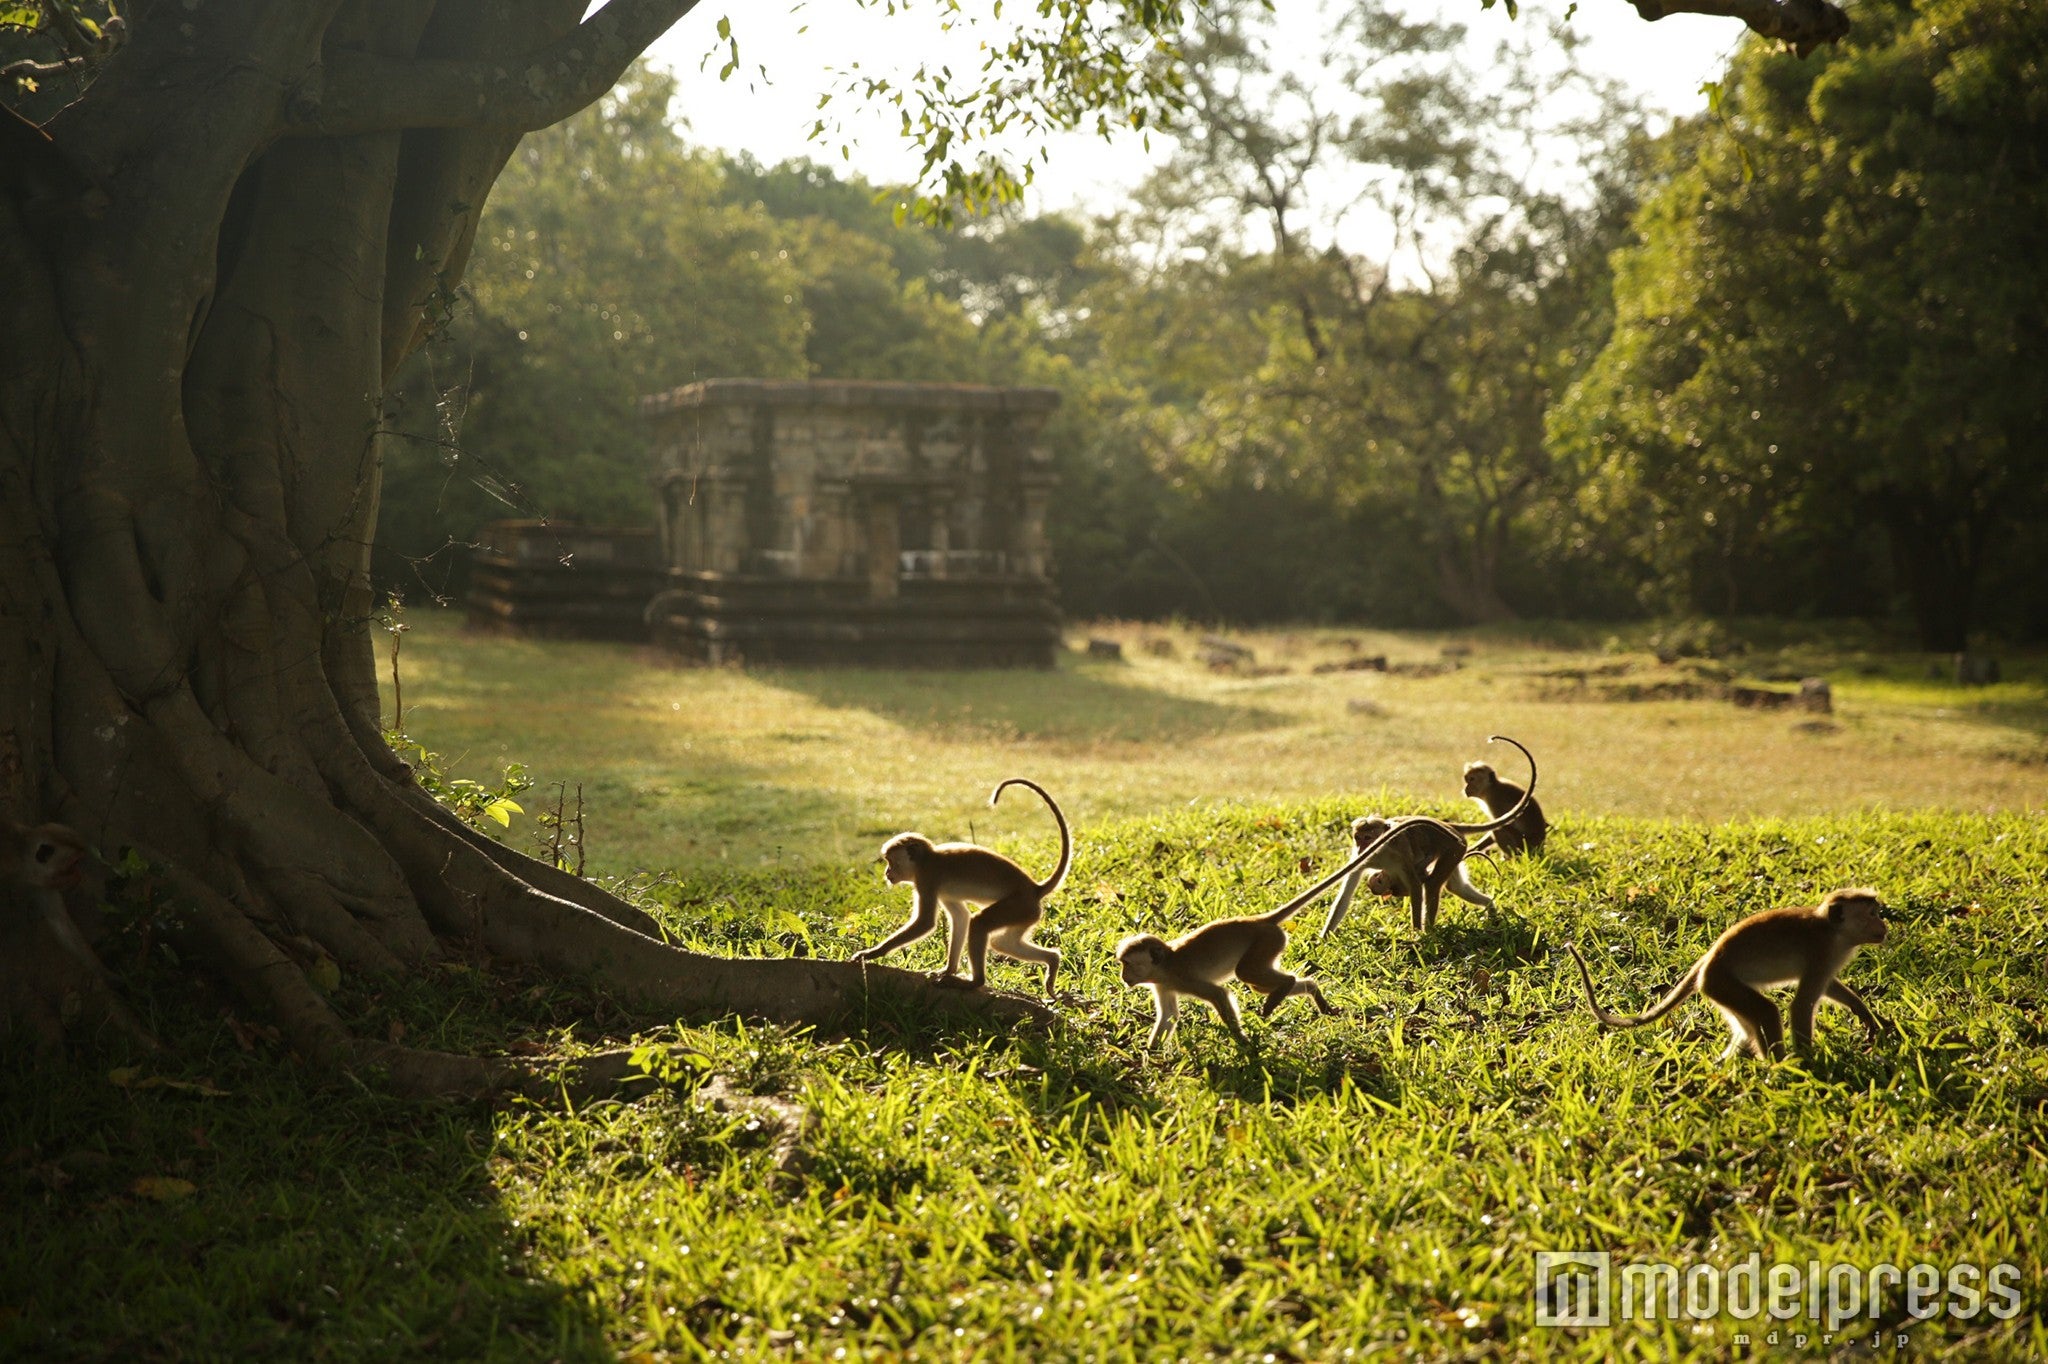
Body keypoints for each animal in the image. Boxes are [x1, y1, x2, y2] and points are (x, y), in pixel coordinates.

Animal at [851, 778, 1071, 995]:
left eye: (891, 862)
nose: (887, 873)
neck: (927, 859)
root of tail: (1034, 888)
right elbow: (960, 917)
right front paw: (949, 970)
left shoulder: (927, 878)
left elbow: (926, 922)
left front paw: (872, 953)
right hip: (1027, 913)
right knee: (1002, 943)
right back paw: (1052, 961)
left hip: (1019, 906)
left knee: (980, 924)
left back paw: (975, 982)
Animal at [1115, 895, 1339, 1052]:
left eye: (1127, 964)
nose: (1122, 976)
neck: (1165, 966)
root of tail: (1260, 920)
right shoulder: (1162, 984)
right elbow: (1169, 1015)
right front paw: (1150, 1052)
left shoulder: (1183, 978)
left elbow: (1218, 994)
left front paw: (1243, 1042)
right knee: (1257, 985)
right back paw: (1311, 991)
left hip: (1267, 941)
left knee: (1246, 973)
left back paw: (1286, 985)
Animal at [1319, 734, 1539, 937]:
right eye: (1358, 838)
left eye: (1368, 838)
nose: (1363, 847)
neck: (1380, 853)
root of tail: (1448, 825)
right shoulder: (1359, 859)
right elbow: (1344, 897)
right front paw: (1325, 938)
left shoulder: (1400, 852)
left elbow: (1416, 887)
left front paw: (1416, 932)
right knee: (1455, 886)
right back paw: (1490, 907)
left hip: (1454, 847)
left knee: (1433, 884)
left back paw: (1431, 930)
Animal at [1563, 888, 1890, 1060]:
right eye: (1872, 914)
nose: (1884, 926)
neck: (1832, 929)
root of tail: (1708, 959)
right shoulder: (1822, 951)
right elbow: (1802, 1004)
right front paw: (1807, 1063)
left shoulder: (1831, 957)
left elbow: (1828, 988)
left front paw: (1864, 1014)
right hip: (1722, 983)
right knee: (1766, 1010)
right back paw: (1778, 1064)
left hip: (1720, 991)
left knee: (1748, 1023)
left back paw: (1729, 1063)